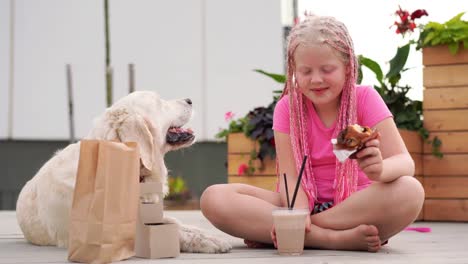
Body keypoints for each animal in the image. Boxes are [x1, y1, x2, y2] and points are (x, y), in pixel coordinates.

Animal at [16, 91, 232, 254]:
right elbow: (173, 232)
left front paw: (207, 235)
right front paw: (209, 241)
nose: (189, 99)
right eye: (159, 102)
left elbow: (177, 224)